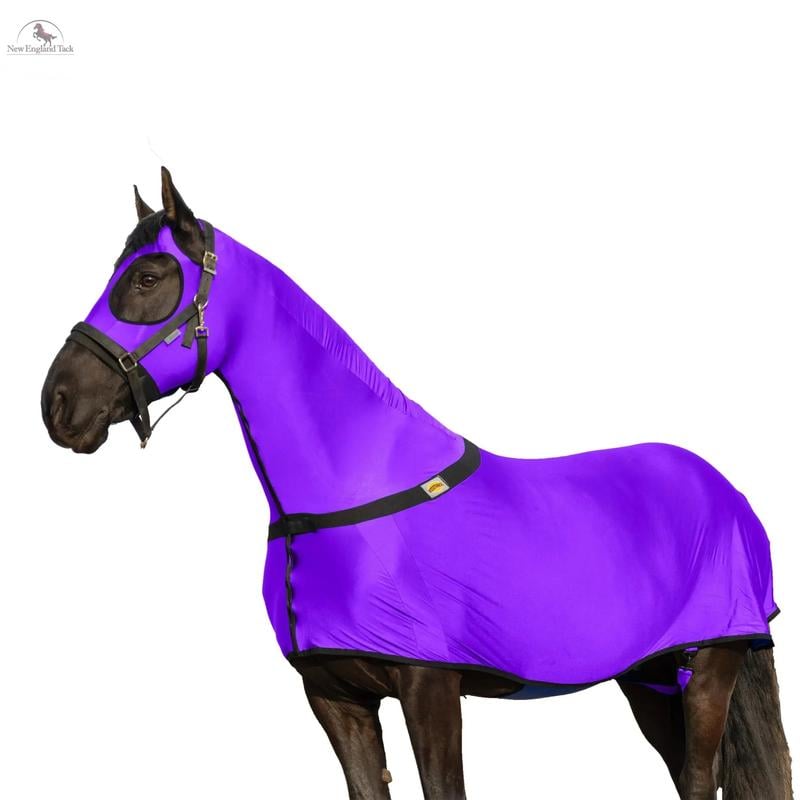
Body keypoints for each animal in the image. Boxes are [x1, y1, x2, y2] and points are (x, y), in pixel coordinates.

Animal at [41, 167, 792, 799]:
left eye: (149, 278)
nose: (58, 405)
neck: (351, 487)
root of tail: (725, 490)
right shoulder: (335, 697)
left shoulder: (430, 688)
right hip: (652, 678)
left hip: (711, 664)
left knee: (699, 779)